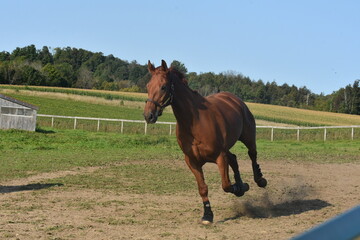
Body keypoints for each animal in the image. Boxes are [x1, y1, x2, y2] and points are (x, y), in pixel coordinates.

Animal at [144, 60, 268, 225]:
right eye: (148, 86)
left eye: (163, 86)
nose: (148, 115)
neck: (195, 122)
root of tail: (234, 99)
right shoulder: (192, 161)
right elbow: (203, 188)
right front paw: (208, 215)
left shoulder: (220, 157)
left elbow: (226, 185)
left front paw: (240, 188)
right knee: (234, 159)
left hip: (247, 137)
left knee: (252, 154)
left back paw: (259, 180)